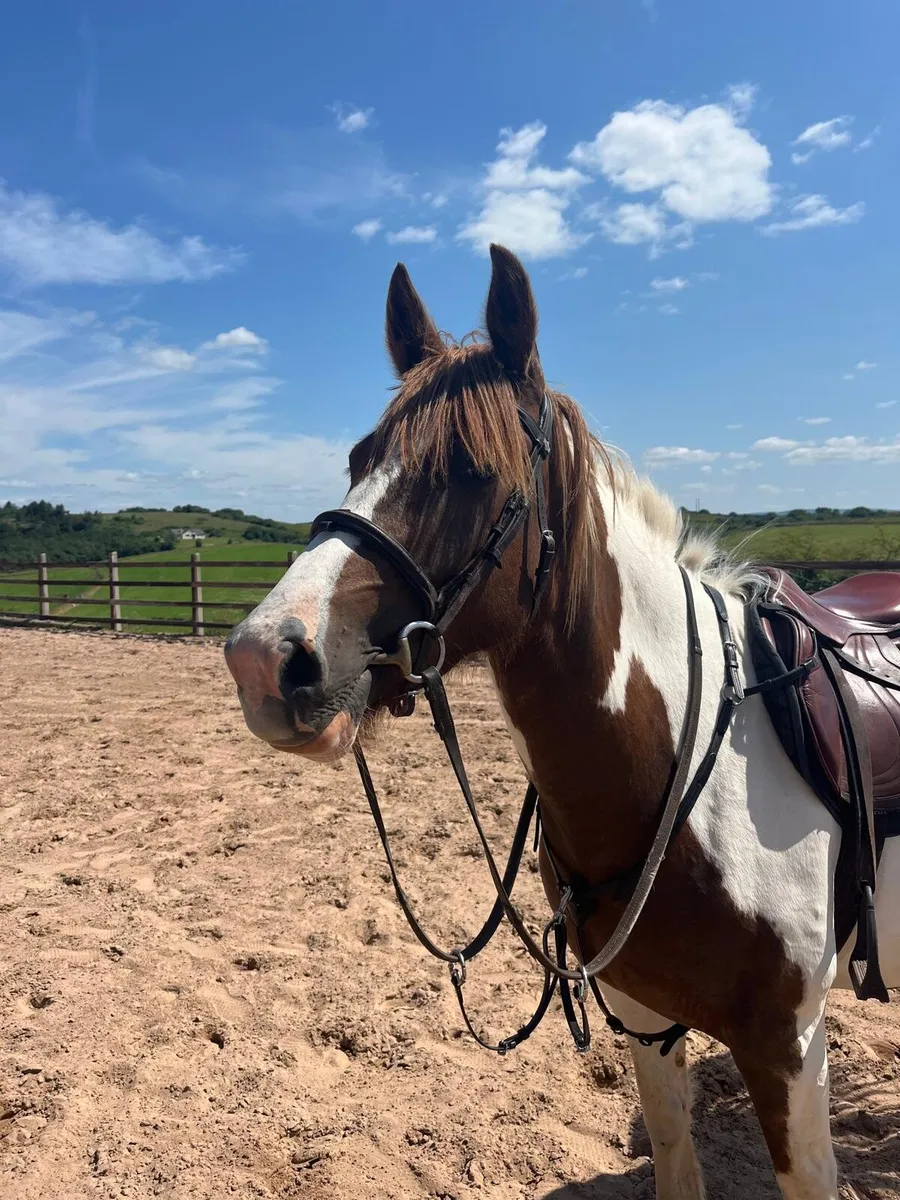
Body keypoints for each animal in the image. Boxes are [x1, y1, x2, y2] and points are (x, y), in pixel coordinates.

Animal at [223, 244, 899, 1199]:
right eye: (359, 459)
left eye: (472, 470)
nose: (264, 659)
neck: (694, 777)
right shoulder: (645, 1014)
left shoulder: (789, 1050)